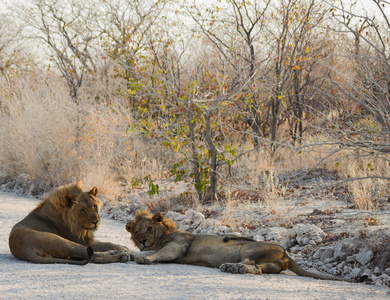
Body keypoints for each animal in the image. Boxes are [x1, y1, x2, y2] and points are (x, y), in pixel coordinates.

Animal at [126, 210, 368, 282]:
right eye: (137, 232)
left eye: (149, 228)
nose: (143, 240)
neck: (164, 235)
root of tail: (287, 254)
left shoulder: (179, 246)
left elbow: (159, 253)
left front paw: (143, 257)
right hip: (271, 264)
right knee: (259, 269)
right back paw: (235, 268)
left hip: (249, 248)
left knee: (251, 262)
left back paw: (234, 267)